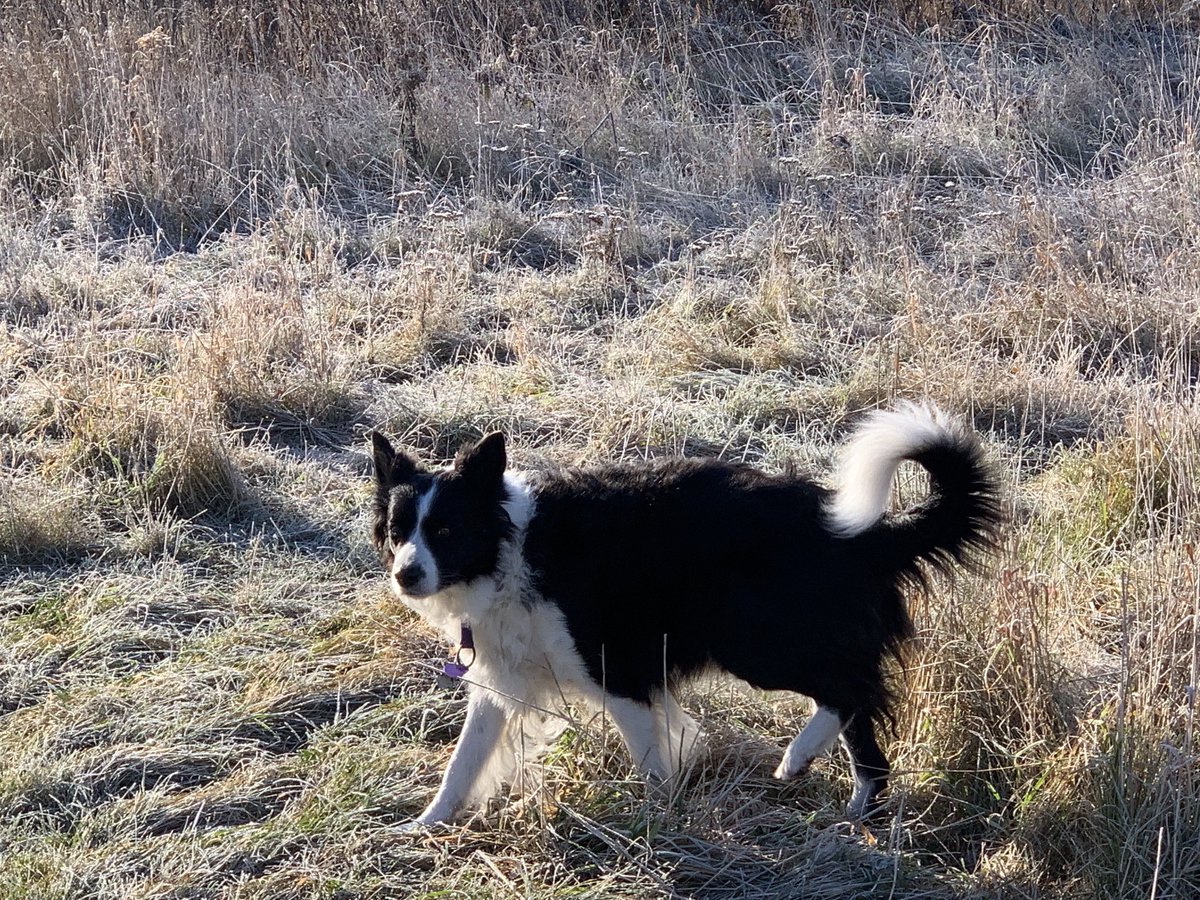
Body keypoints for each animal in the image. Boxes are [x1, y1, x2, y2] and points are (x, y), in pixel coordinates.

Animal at [369, 405, 998, 830]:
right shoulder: (503, 680)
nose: (405, 575)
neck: (510, 552)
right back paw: (852, 814)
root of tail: (861, 535)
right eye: (399, 532)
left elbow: (651, 761)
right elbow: (463, 763)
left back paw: (797, 759)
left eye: (444, 530)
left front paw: (658, 820)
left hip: (756, 641)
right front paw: (422, 829)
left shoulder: (620, 671)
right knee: (864, 731)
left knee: (852, 690)